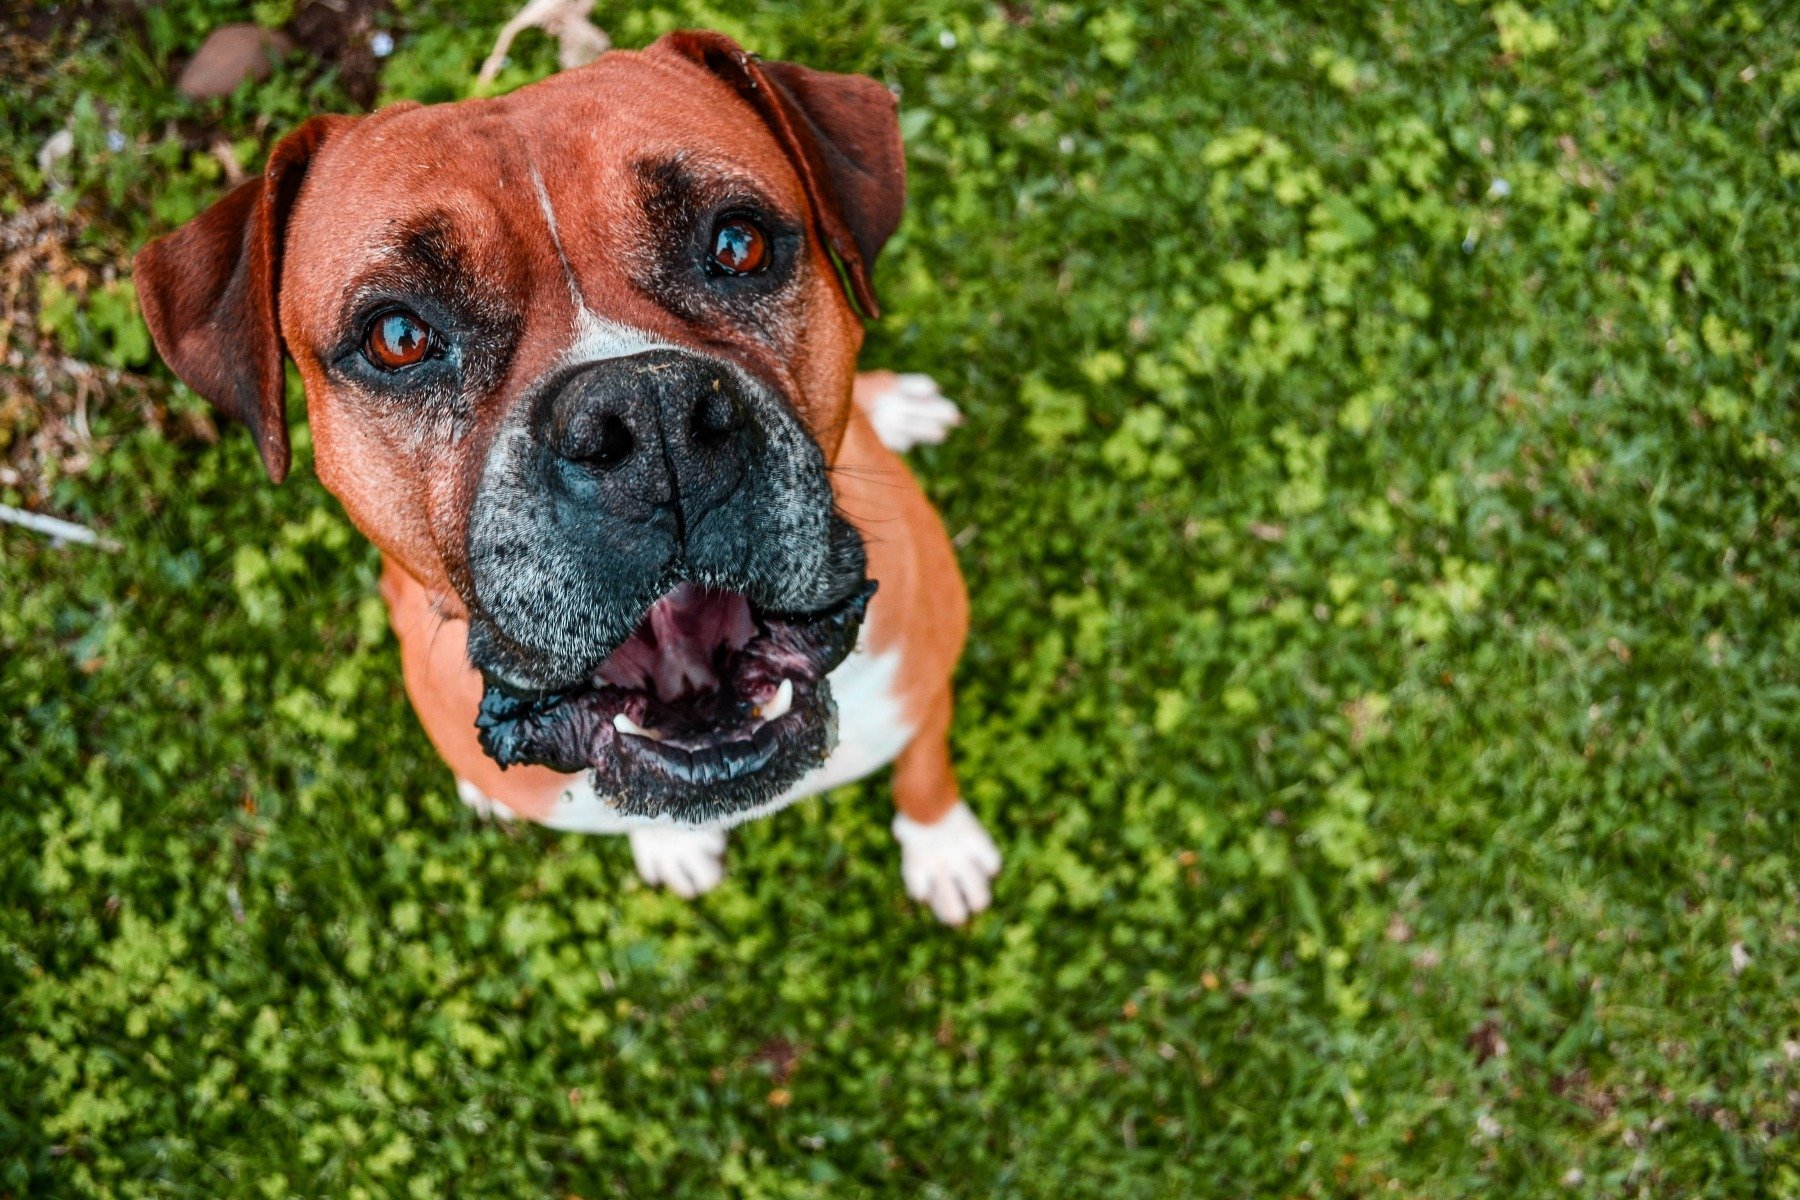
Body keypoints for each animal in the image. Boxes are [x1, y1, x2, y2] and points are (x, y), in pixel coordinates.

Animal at [133, 32, 1008, 928]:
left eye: (738, 244)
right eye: (398, 336)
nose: (651, 417)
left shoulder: (922, 676)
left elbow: (925, 765)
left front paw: (942, 847)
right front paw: (672, 847)